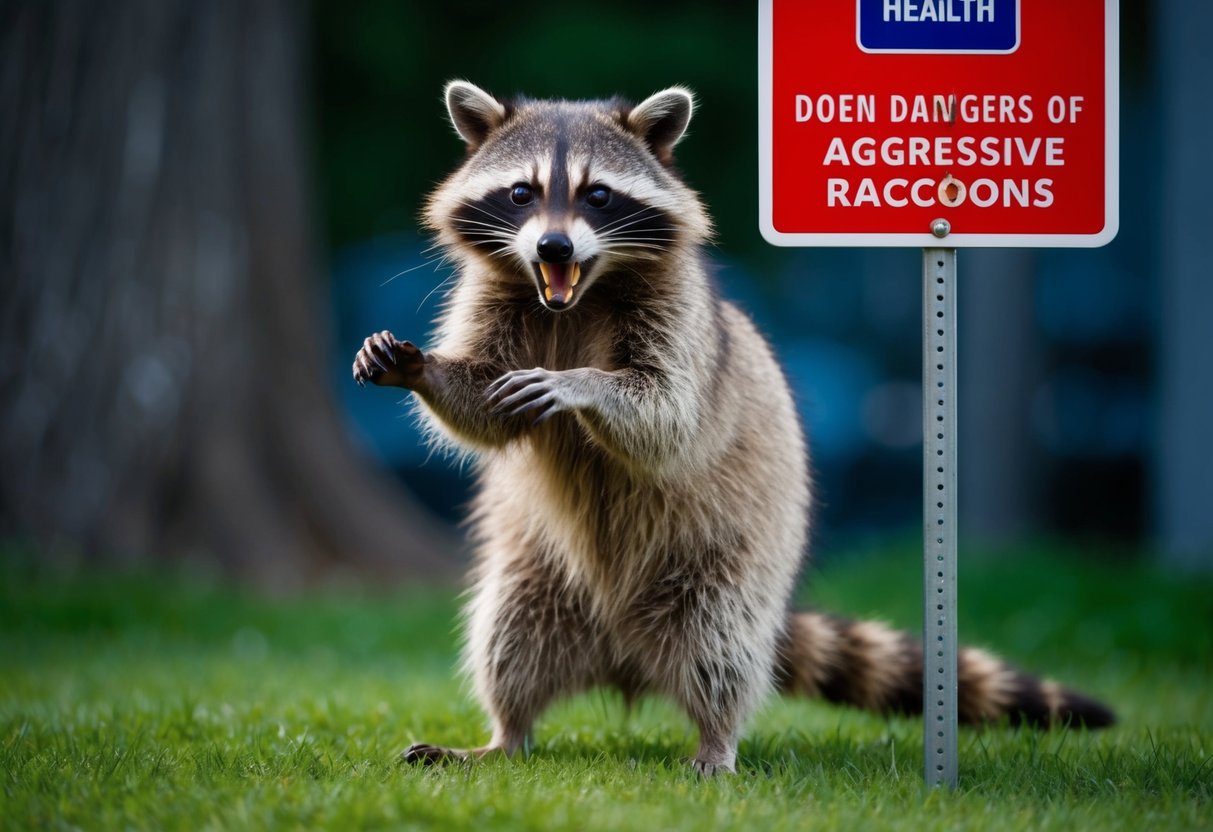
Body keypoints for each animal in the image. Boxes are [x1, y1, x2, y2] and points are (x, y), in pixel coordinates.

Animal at [352, 81, 1114, 775]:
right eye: (520, 193)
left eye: (598, 196)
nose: (553, 244)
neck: (575, 294)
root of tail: (623, 658)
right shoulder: (493, 296)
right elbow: (482, 407)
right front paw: (423, 370)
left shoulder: (681, 318)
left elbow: (665, 415)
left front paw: (583, 386)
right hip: (535, 574)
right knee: (507, 640)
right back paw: (503, 735)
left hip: (730, 562)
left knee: (718, 645)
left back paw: (715, 740)